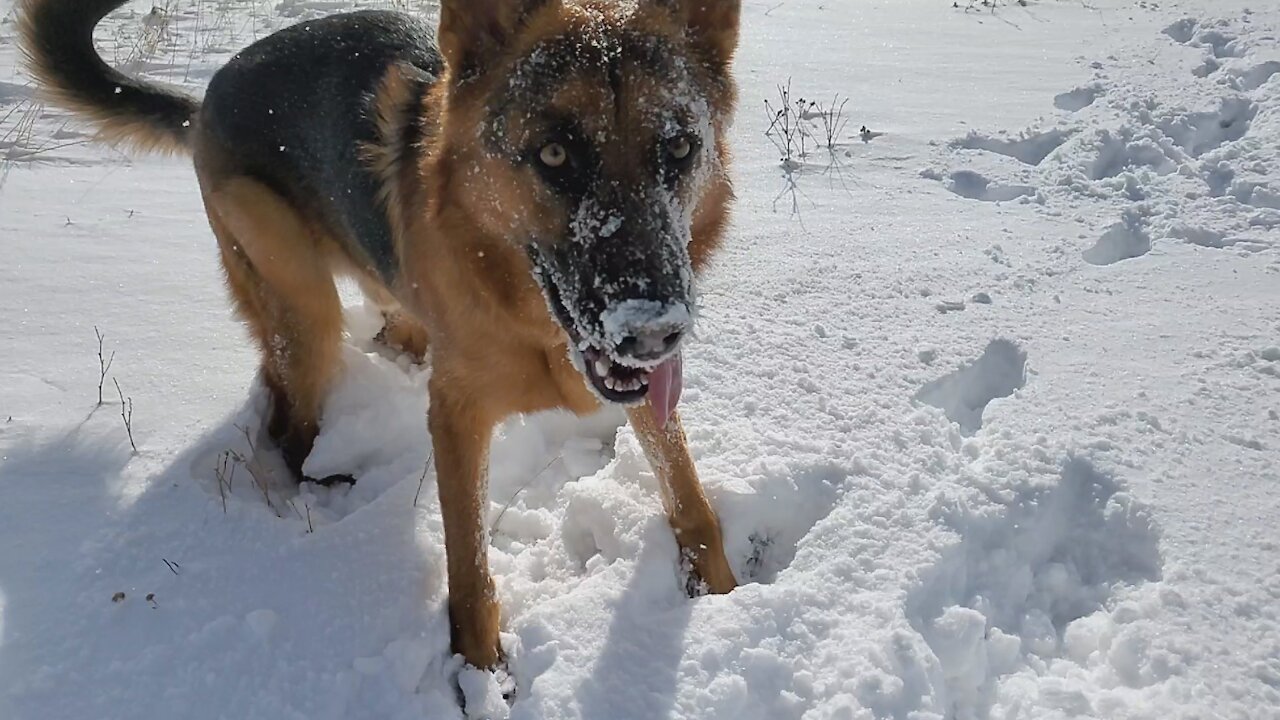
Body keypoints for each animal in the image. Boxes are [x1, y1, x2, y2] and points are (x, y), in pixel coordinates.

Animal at [20, 0, 742, 666]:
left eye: (680, 148)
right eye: (554, 153)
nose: (654, 331)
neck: (531, 321)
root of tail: (208, 97)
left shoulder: (645, 396)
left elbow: (692, 503)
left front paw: (724, 599)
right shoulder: (457, 416)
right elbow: (468, 566)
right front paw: (480, 670)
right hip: (305, 308)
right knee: (285, 422)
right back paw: (322, 482)